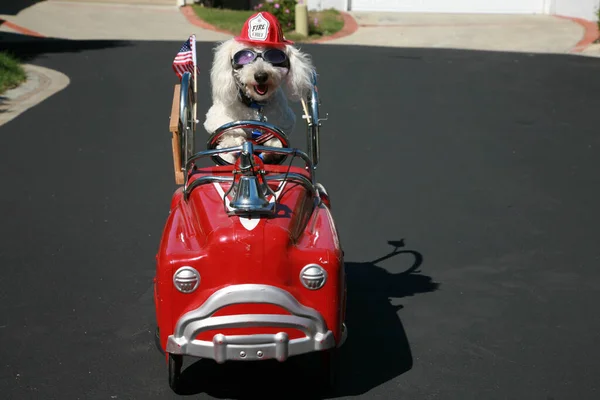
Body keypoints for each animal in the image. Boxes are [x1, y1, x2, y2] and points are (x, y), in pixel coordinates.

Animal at [204, 11, 314, 163]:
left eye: (275, 56)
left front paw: (272, 147)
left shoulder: (286, 120)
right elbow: (230, 131)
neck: (255, 105)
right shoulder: (213, 118)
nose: (261, 76)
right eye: (245, 56)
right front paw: (234, 141)